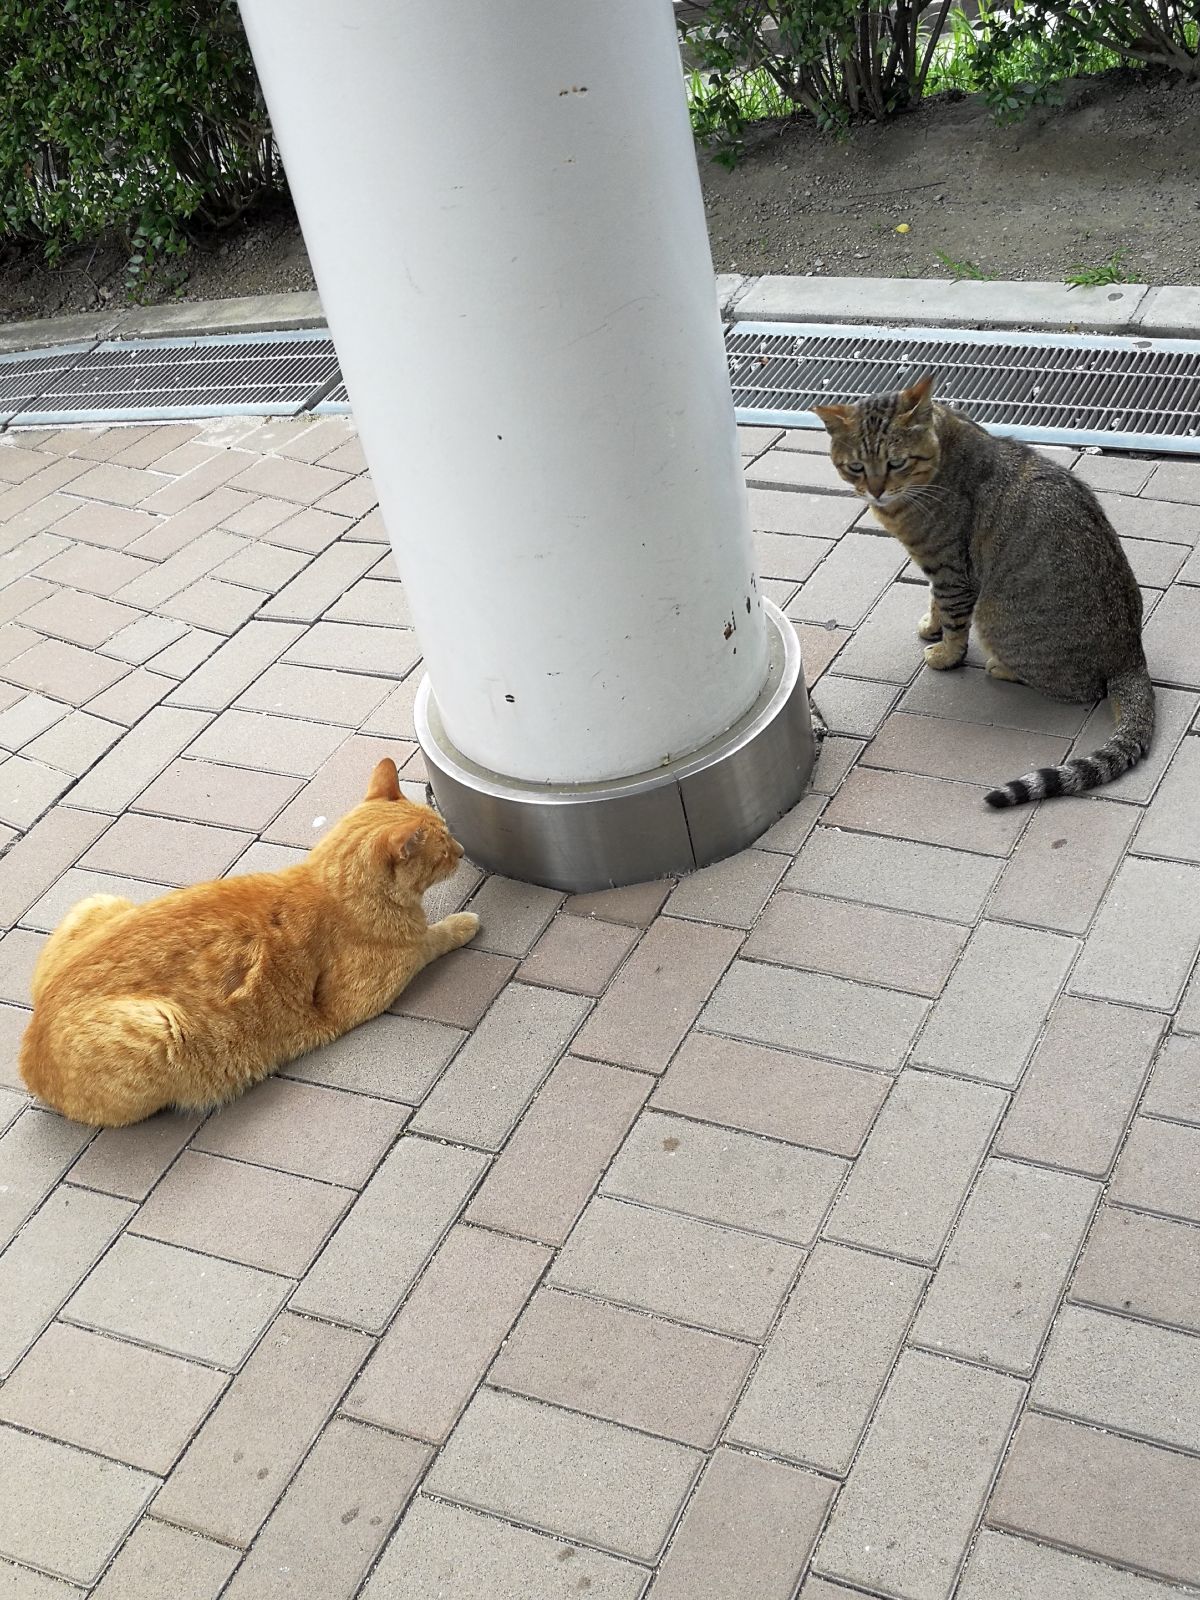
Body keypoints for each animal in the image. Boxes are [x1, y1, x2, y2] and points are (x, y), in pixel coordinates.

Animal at [18, 758, 480, 1126]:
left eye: (450, 836)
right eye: (444, 849)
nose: (462, 850)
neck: (327, 886)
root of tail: (27, 1057)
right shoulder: (369, 990)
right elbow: (429, 940)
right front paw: (462, 924)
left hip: (98, 900)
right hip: (160, 1028)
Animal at [819, 371, 1158, 800]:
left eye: (896, 462)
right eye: (856, 467)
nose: (876, 491)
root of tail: (1131, 656)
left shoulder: (951, 568)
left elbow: (952, 618)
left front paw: (946, 653)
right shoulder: (937, 566)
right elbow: (935, 603)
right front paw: (932, 626)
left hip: (997, 616)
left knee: (1080, 689)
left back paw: (1002, 667)